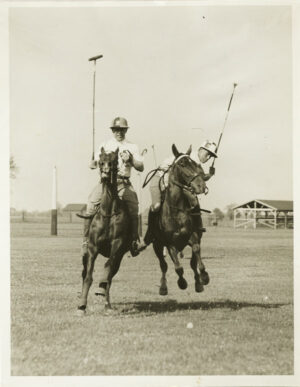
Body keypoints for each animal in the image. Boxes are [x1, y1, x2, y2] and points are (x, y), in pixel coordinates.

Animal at [78, 147, 132, 314]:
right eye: (101, 161)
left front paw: (102, 293)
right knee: (84, 273)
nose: (105, 175)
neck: (108, 213)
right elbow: (88, 276)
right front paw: (82, 306)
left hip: (120, 257)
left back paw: (106, 301)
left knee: (110, 276)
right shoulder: (92, 247)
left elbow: (107, 269)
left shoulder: (117, 245)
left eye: (114, 161)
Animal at [149, 146, 210, 298]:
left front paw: (204, 277)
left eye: (195, 164)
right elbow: (178, 268)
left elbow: (195, 254)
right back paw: (163, 287)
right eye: (182, 164)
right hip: (157, 245)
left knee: (192, 262)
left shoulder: (192, 236)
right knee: (163, 265)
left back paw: (198, 283)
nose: (201, 186)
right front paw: (182, 283)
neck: (176, 210)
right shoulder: (170, 243)